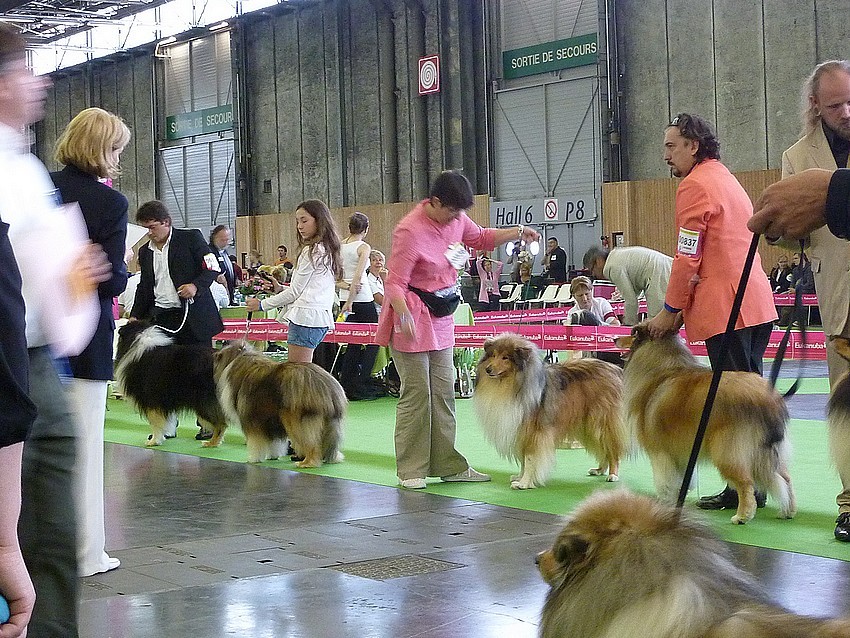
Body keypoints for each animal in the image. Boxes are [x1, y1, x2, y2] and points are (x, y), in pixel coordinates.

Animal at [214, 348, 346, 468]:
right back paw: (333, 458)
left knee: (311, 444)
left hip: (297, 422)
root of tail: (327, 386)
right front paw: (273, 456)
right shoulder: (271, 422)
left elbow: (255, 442)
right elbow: (274, 442)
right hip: (329, 422)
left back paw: (307, 463)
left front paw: (253, 459)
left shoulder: (254, 421)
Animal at [470, 336, 624, 490]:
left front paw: (524, 483)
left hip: (600, 423)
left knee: (612, 448)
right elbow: (524, 460)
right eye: (493, 355)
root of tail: (616, 369)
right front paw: (519, 478)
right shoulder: (521, 431)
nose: (488, 369)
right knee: (603, 449)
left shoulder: (533, 432)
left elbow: (529, 458)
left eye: (505, 357)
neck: (511, 384)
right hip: (587, 426)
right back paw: (599, 470)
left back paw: (613, 475)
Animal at [612, 324, 792, 524]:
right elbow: (681, 480)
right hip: (767, 452)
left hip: (728, 451)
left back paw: (742, 516)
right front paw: (678, 499)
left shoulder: (659, 451)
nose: (614, 339)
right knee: (785, 478)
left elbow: (664, 481)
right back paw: (787, 512)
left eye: (633, 333)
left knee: (746, 483)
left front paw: (664, 503)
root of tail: (770, 400)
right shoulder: (679, 451)